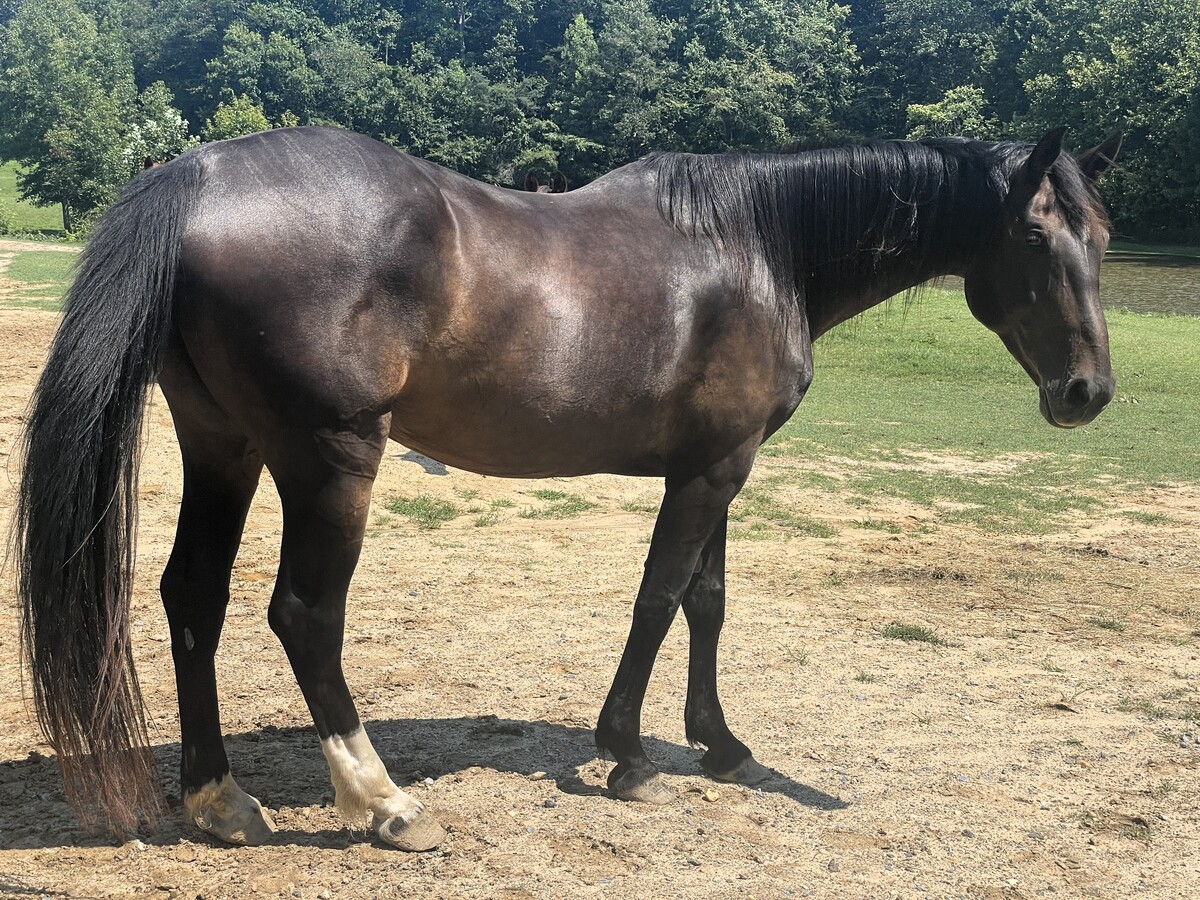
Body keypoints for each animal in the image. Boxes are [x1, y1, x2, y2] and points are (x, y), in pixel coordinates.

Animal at [13, 124, 1122, 851]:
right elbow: (660, 599)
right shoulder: (714, 470)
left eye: (1101, 239)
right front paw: (626, 753)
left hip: (224, 444)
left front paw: (721, 744)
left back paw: (218, 801)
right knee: (304, 616)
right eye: (1034, 238)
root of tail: (195, 173)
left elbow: (709, 603)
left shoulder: (720, 465)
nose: (1089, 392)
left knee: (191, 601)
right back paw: (384, 804)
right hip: (329, 459)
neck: (755, 247)